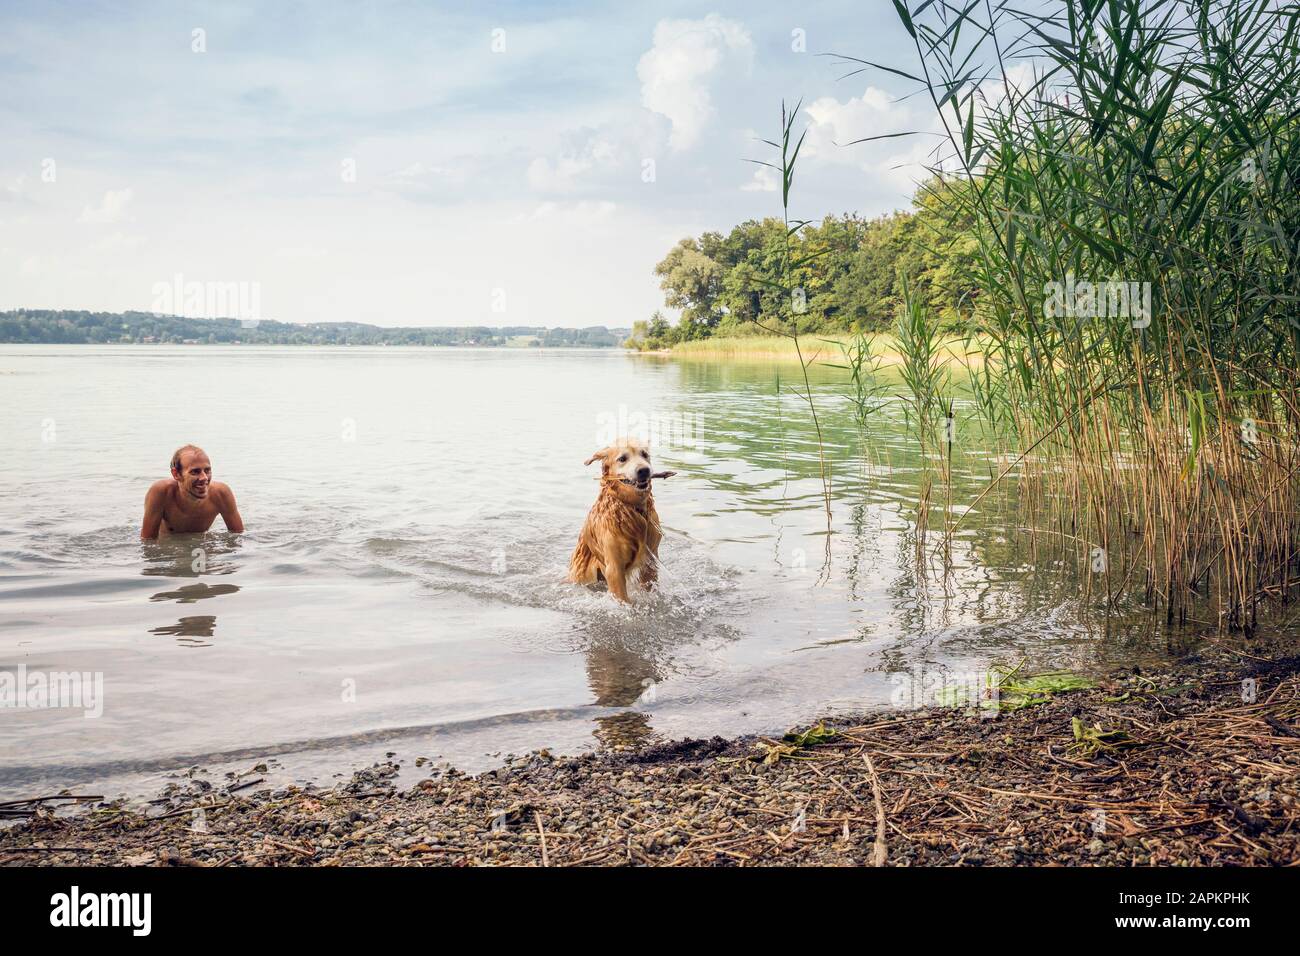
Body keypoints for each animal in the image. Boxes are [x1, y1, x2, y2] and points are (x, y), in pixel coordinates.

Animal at [569, 442, 676, 606]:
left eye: (645, 455)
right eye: (622, 459)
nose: (644, 470)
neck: (632, 508)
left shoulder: (650, 560)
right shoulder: (614, 567)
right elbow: (622, 599)